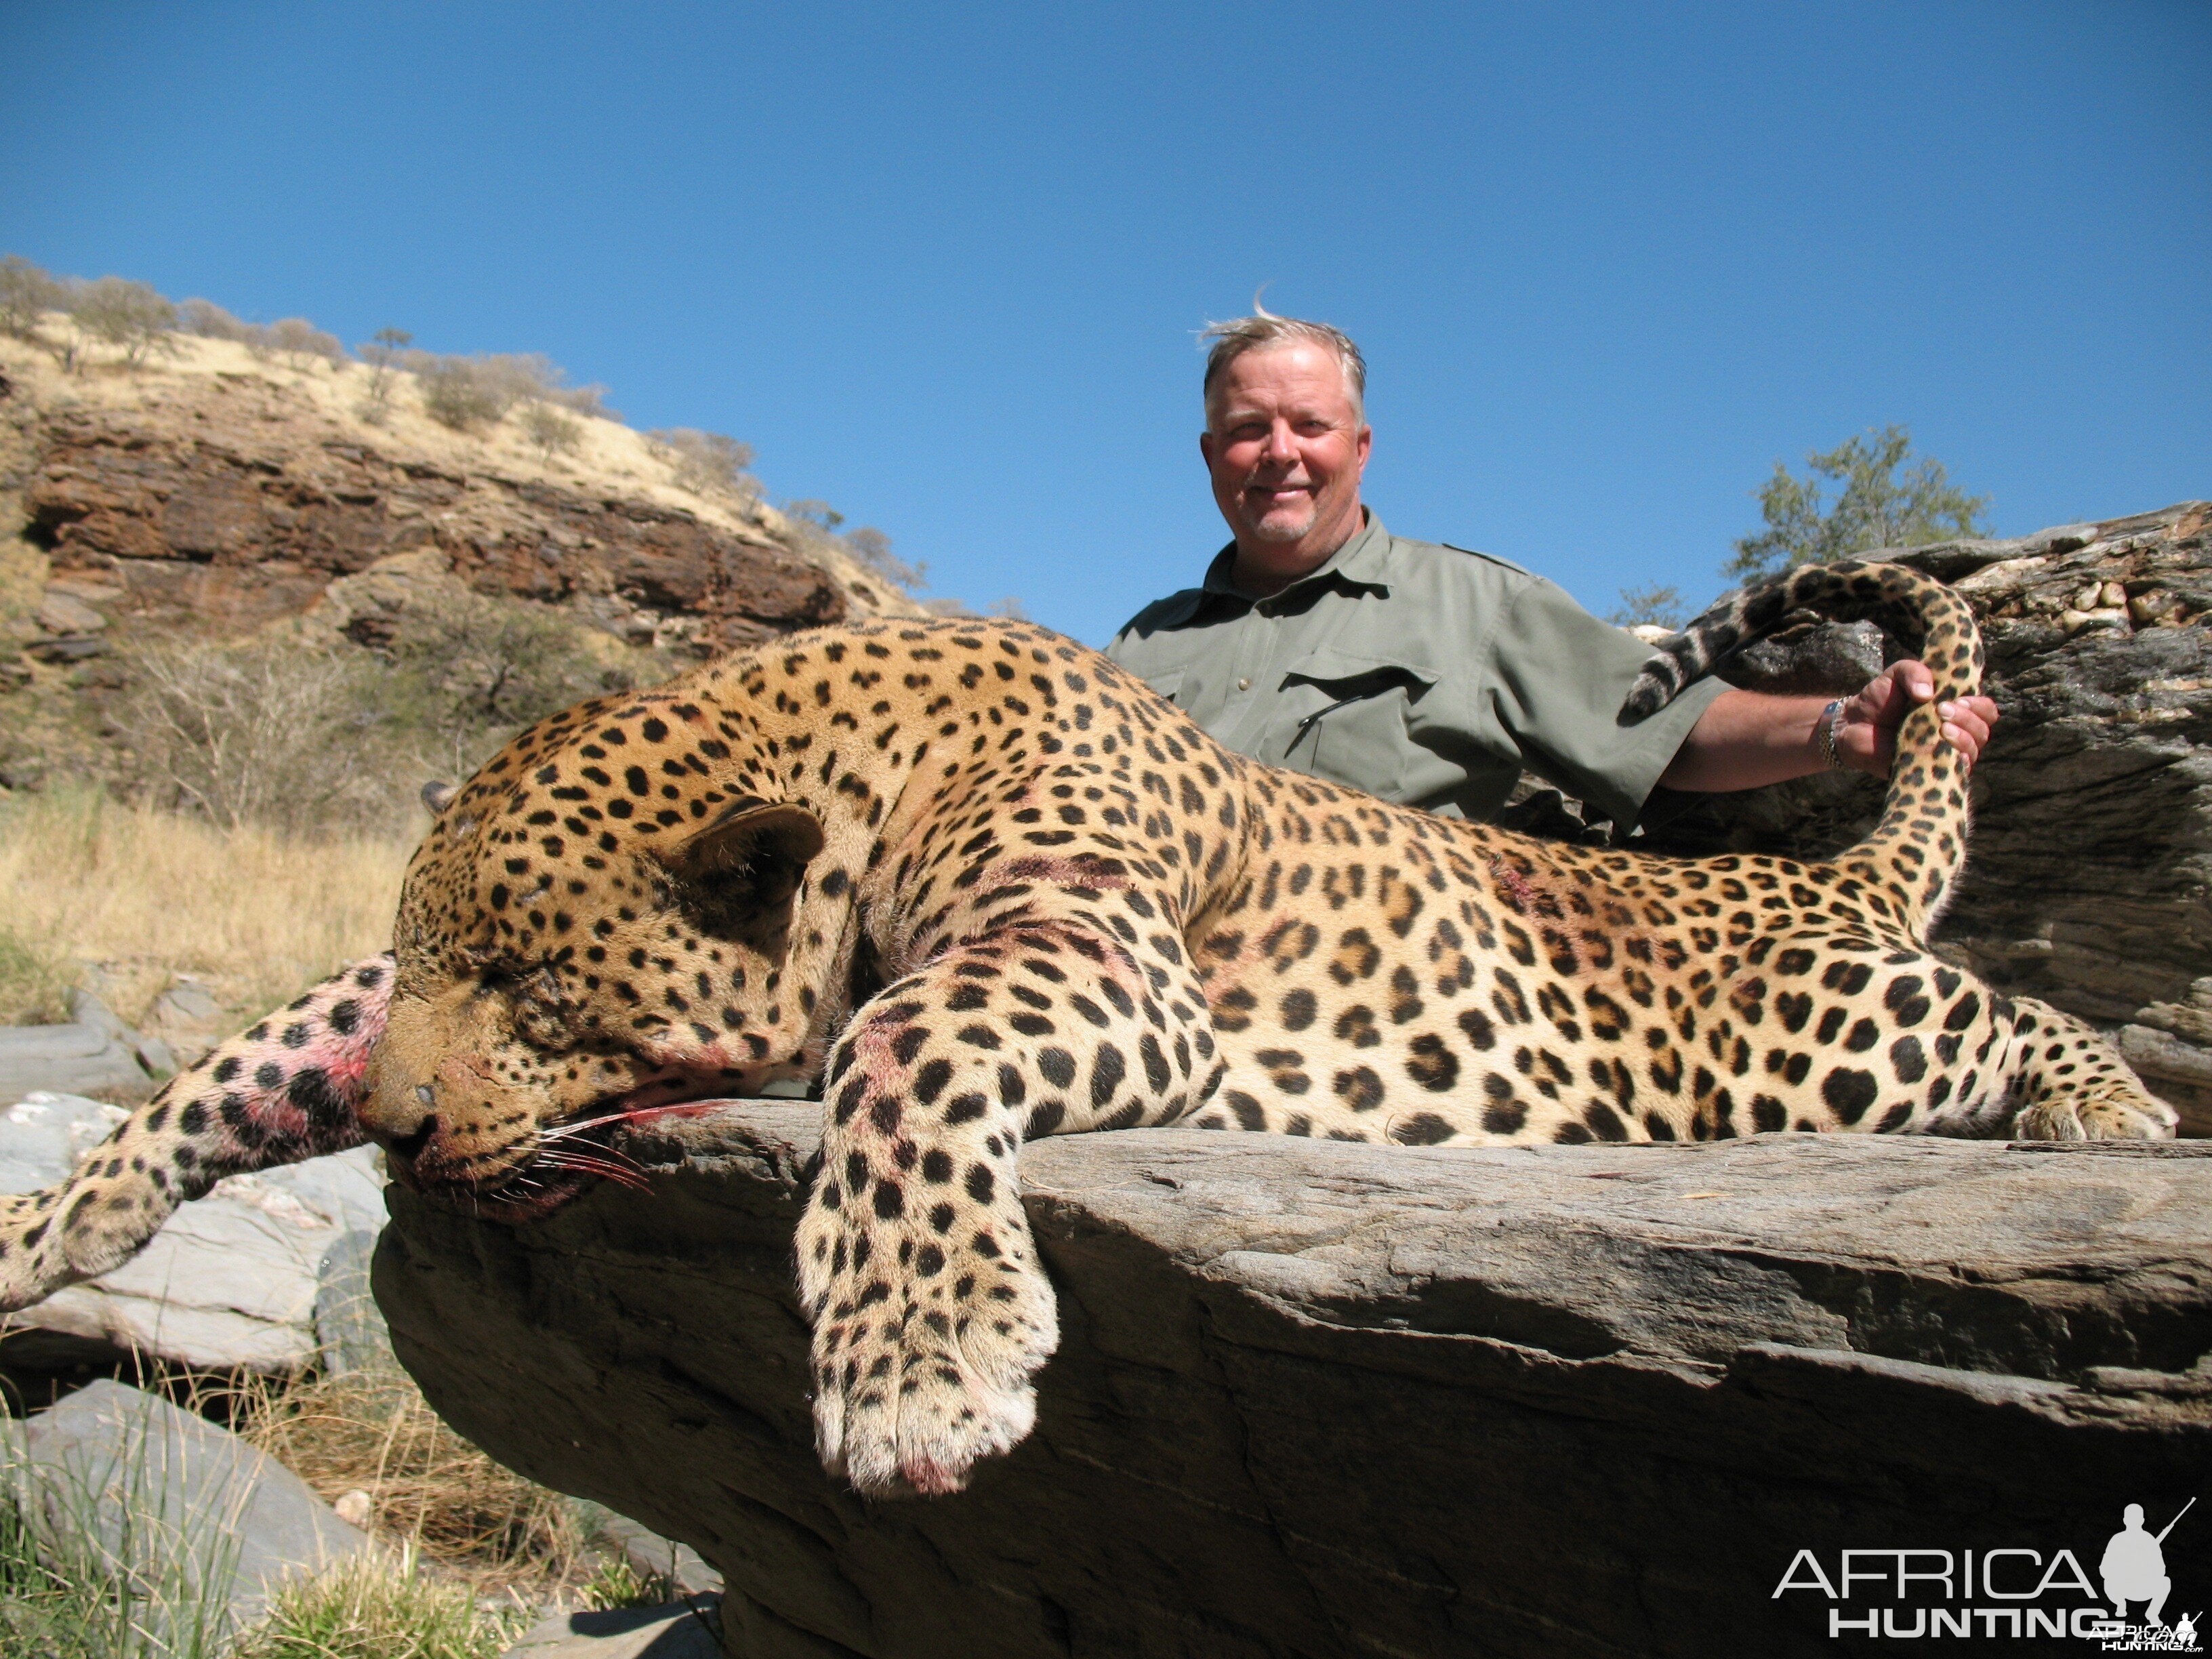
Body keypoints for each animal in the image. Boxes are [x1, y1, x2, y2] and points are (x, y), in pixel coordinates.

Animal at [0, 566, 2176, 1504]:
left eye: (540, 992)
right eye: (454, 972)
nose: (394, 1137)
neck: (848, 751)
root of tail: (1807, 877)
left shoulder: (1091, 951)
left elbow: (898, 1053)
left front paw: (915, 1367)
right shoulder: (362, 1009)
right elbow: (259, 1044)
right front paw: (51, 1225)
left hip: (1806, 1029)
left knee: (2010, 1006)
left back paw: (2112, 1114)